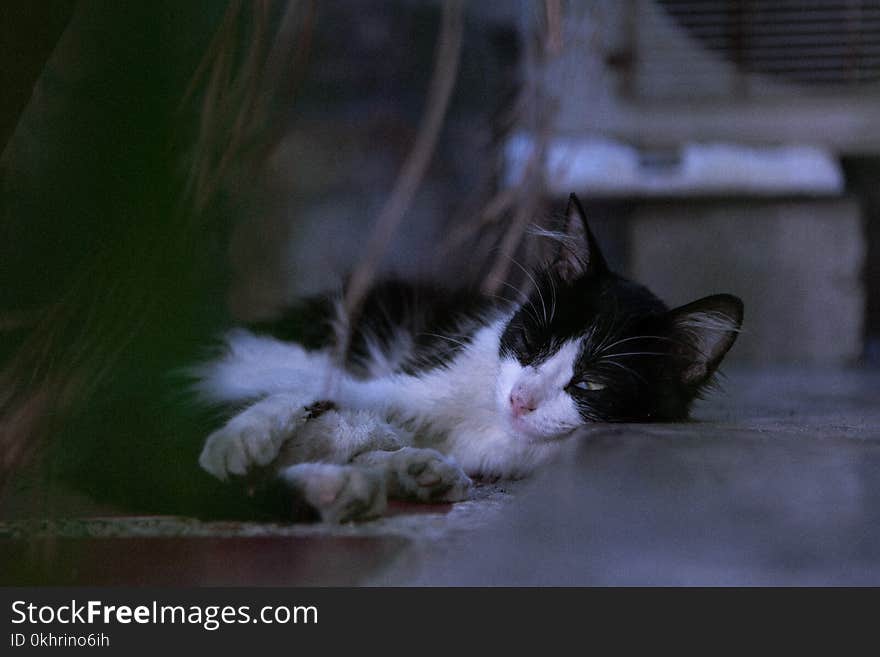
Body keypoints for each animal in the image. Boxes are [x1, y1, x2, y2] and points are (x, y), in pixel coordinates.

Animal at [192, 192, 744, 520]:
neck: (486, 423)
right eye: (531, 344)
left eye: (591, 384)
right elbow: (316, 394)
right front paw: (242, 437)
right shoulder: (411, 377)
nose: (520, 400)